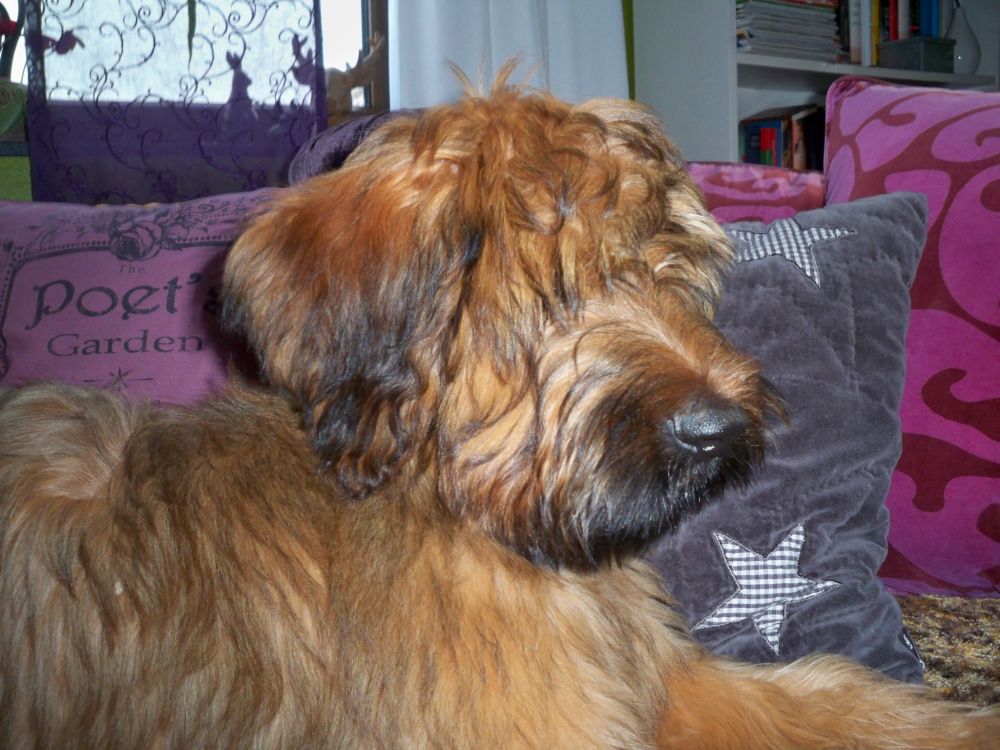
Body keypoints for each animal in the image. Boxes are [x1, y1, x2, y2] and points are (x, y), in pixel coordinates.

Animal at [1, 71, 997, 749]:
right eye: (553, 293)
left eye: (669, 269)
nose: (718, 432)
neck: (454, 510)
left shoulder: (657, 682)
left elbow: (830, 694)